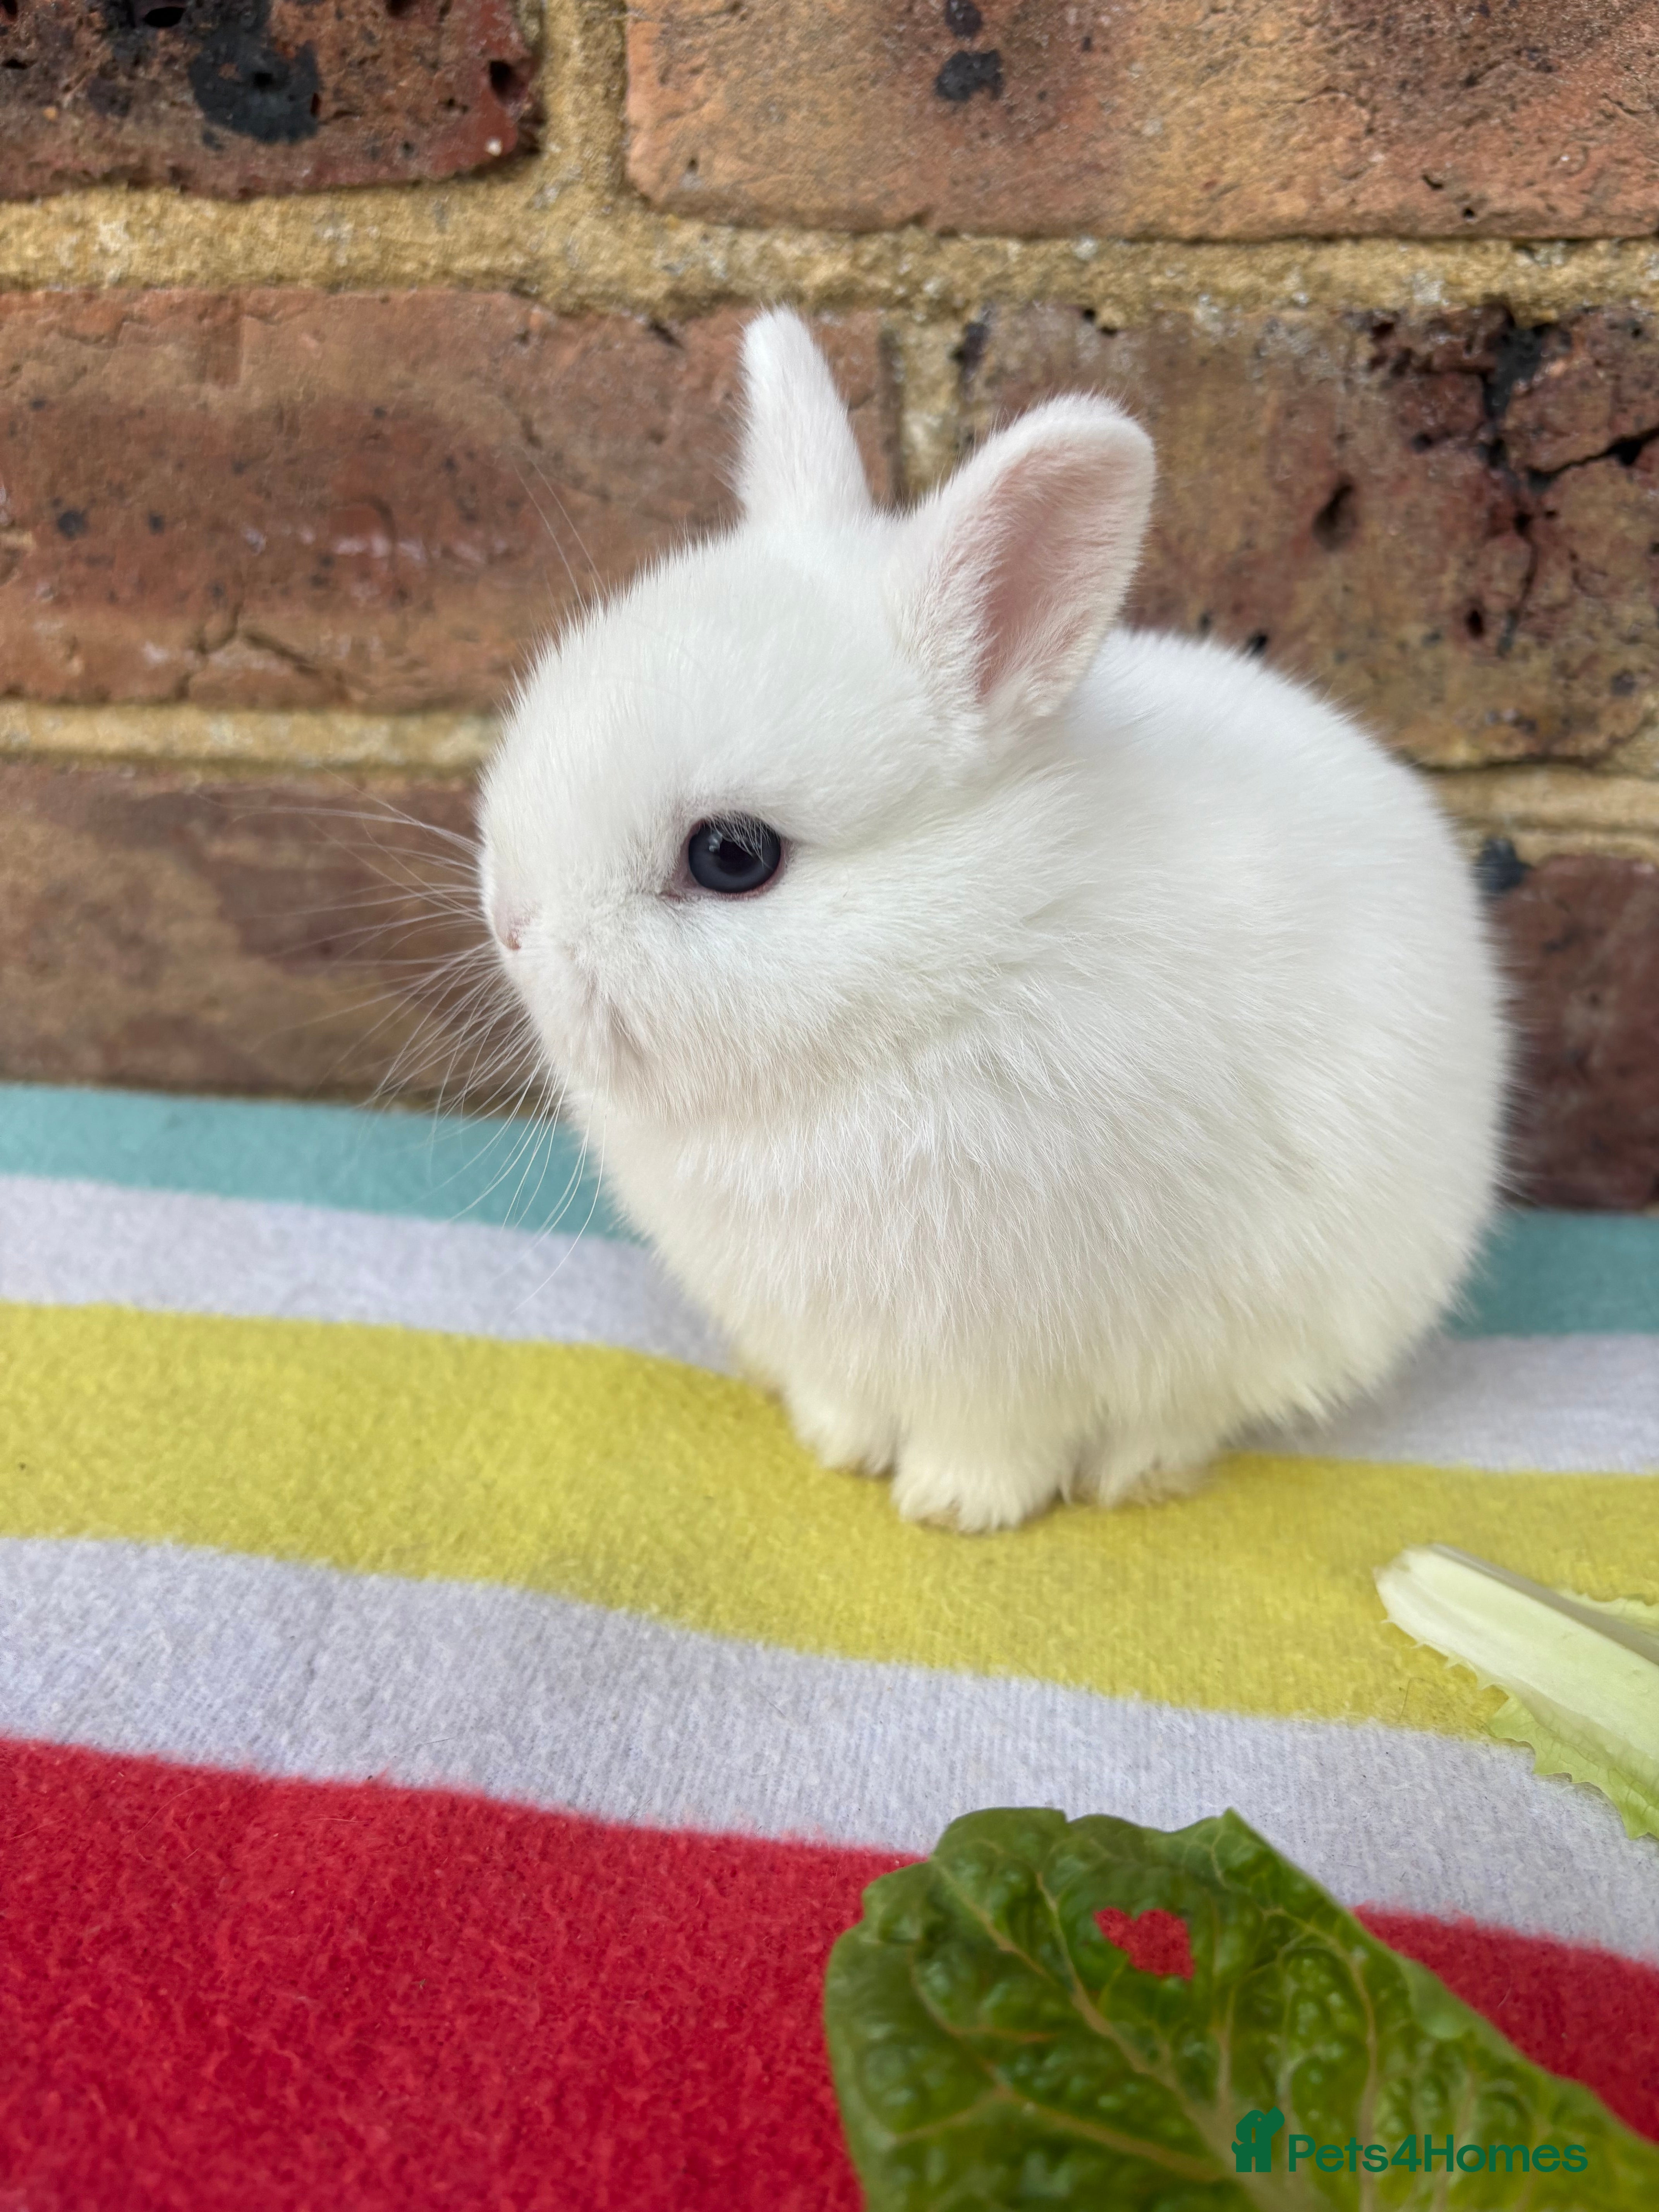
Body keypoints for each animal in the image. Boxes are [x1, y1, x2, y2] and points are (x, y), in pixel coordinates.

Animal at [478, 307, 1507, 1533]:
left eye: (732, 857)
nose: (512, 925)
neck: (959, 965)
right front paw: (837, 1445)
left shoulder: (1014, 1348)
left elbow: (998, 1438)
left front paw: (954, 1506)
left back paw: (1135, 1473)